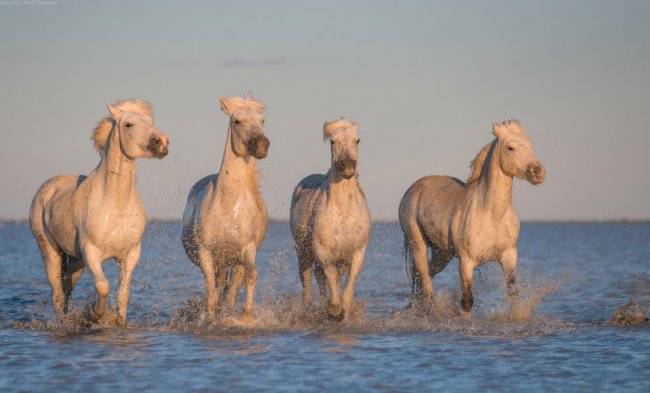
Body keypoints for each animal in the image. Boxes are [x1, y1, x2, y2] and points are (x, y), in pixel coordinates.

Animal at [30, 99, 167, 324]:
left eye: (150, 122)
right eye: (128, 124)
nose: (162, 143)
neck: (115, 205)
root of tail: (47, 187)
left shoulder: (131, 254)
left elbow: (123, 293)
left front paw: (119, 321)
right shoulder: (91, 252)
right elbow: (103, 286)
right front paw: (96, 315)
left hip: (76, 259)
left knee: (67, 285)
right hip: (49, 250)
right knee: (57, 292)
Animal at [180, 95, 268, 322]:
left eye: (262, 121)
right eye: (237, 121)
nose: (261, 144)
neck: (228, 207)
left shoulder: (247, 251)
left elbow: (250, 277)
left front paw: (245, 317)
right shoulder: (206, 254)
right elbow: (211, 293)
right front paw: (211, 319)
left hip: (232, 261)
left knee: (231, 289)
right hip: (219, 261)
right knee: (218, 287)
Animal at [290, 118, 370, 320]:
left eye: (357, 140)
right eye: (333, 141)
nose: (348, 166)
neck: (343, 212)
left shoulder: (357, 253)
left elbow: (347, 290)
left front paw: (344, 312)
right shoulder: (323, 253)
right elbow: (331, 280)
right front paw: (334, 310)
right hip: (303, 253)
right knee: (308, 284)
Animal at [398, 118, 544, 312]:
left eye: (530, 145)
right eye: (510, 148)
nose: (538, 172)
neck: (491, 215)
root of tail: (411, 189)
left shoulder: (509, 256)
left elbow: (513, 295)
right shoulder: (466, 263)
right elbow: (467, 301)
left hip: (442, 253)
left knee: (423, 276)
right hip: (418, 245)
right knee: (425, 281)